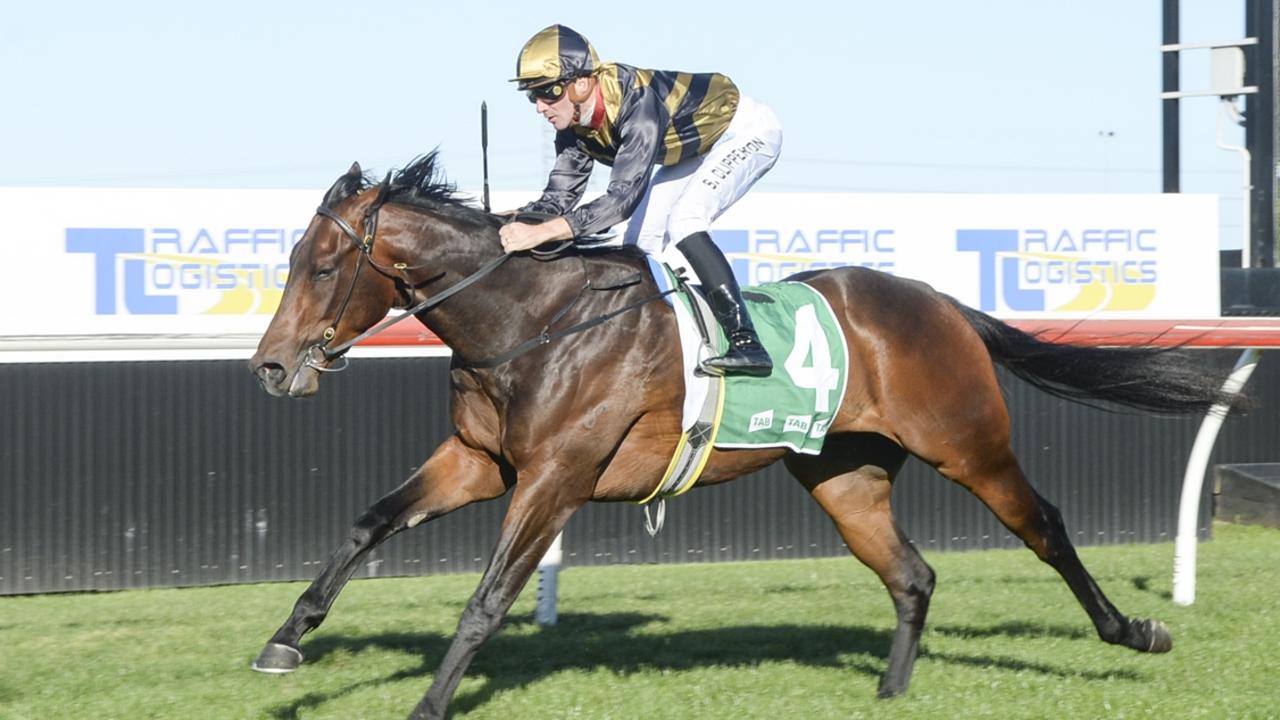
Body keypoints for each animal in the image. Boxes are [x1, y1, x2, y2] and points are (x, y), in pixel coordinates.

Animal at [247, 152, 1239, 717]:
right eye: (292, 258)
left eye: (323, 264)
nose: (268, 367)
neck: (532, 319)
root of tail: (940, 302)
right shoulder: (480, 461)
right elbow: (368, 523)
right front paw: (285, 641)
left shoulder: (557, 474)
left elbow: (488, 599)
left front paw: (428, 705)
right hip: (842, 475)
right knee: (912, 574)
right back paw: (890, 691)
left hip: (968, 441)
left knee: (1045, 528)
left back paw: (1134, 632)